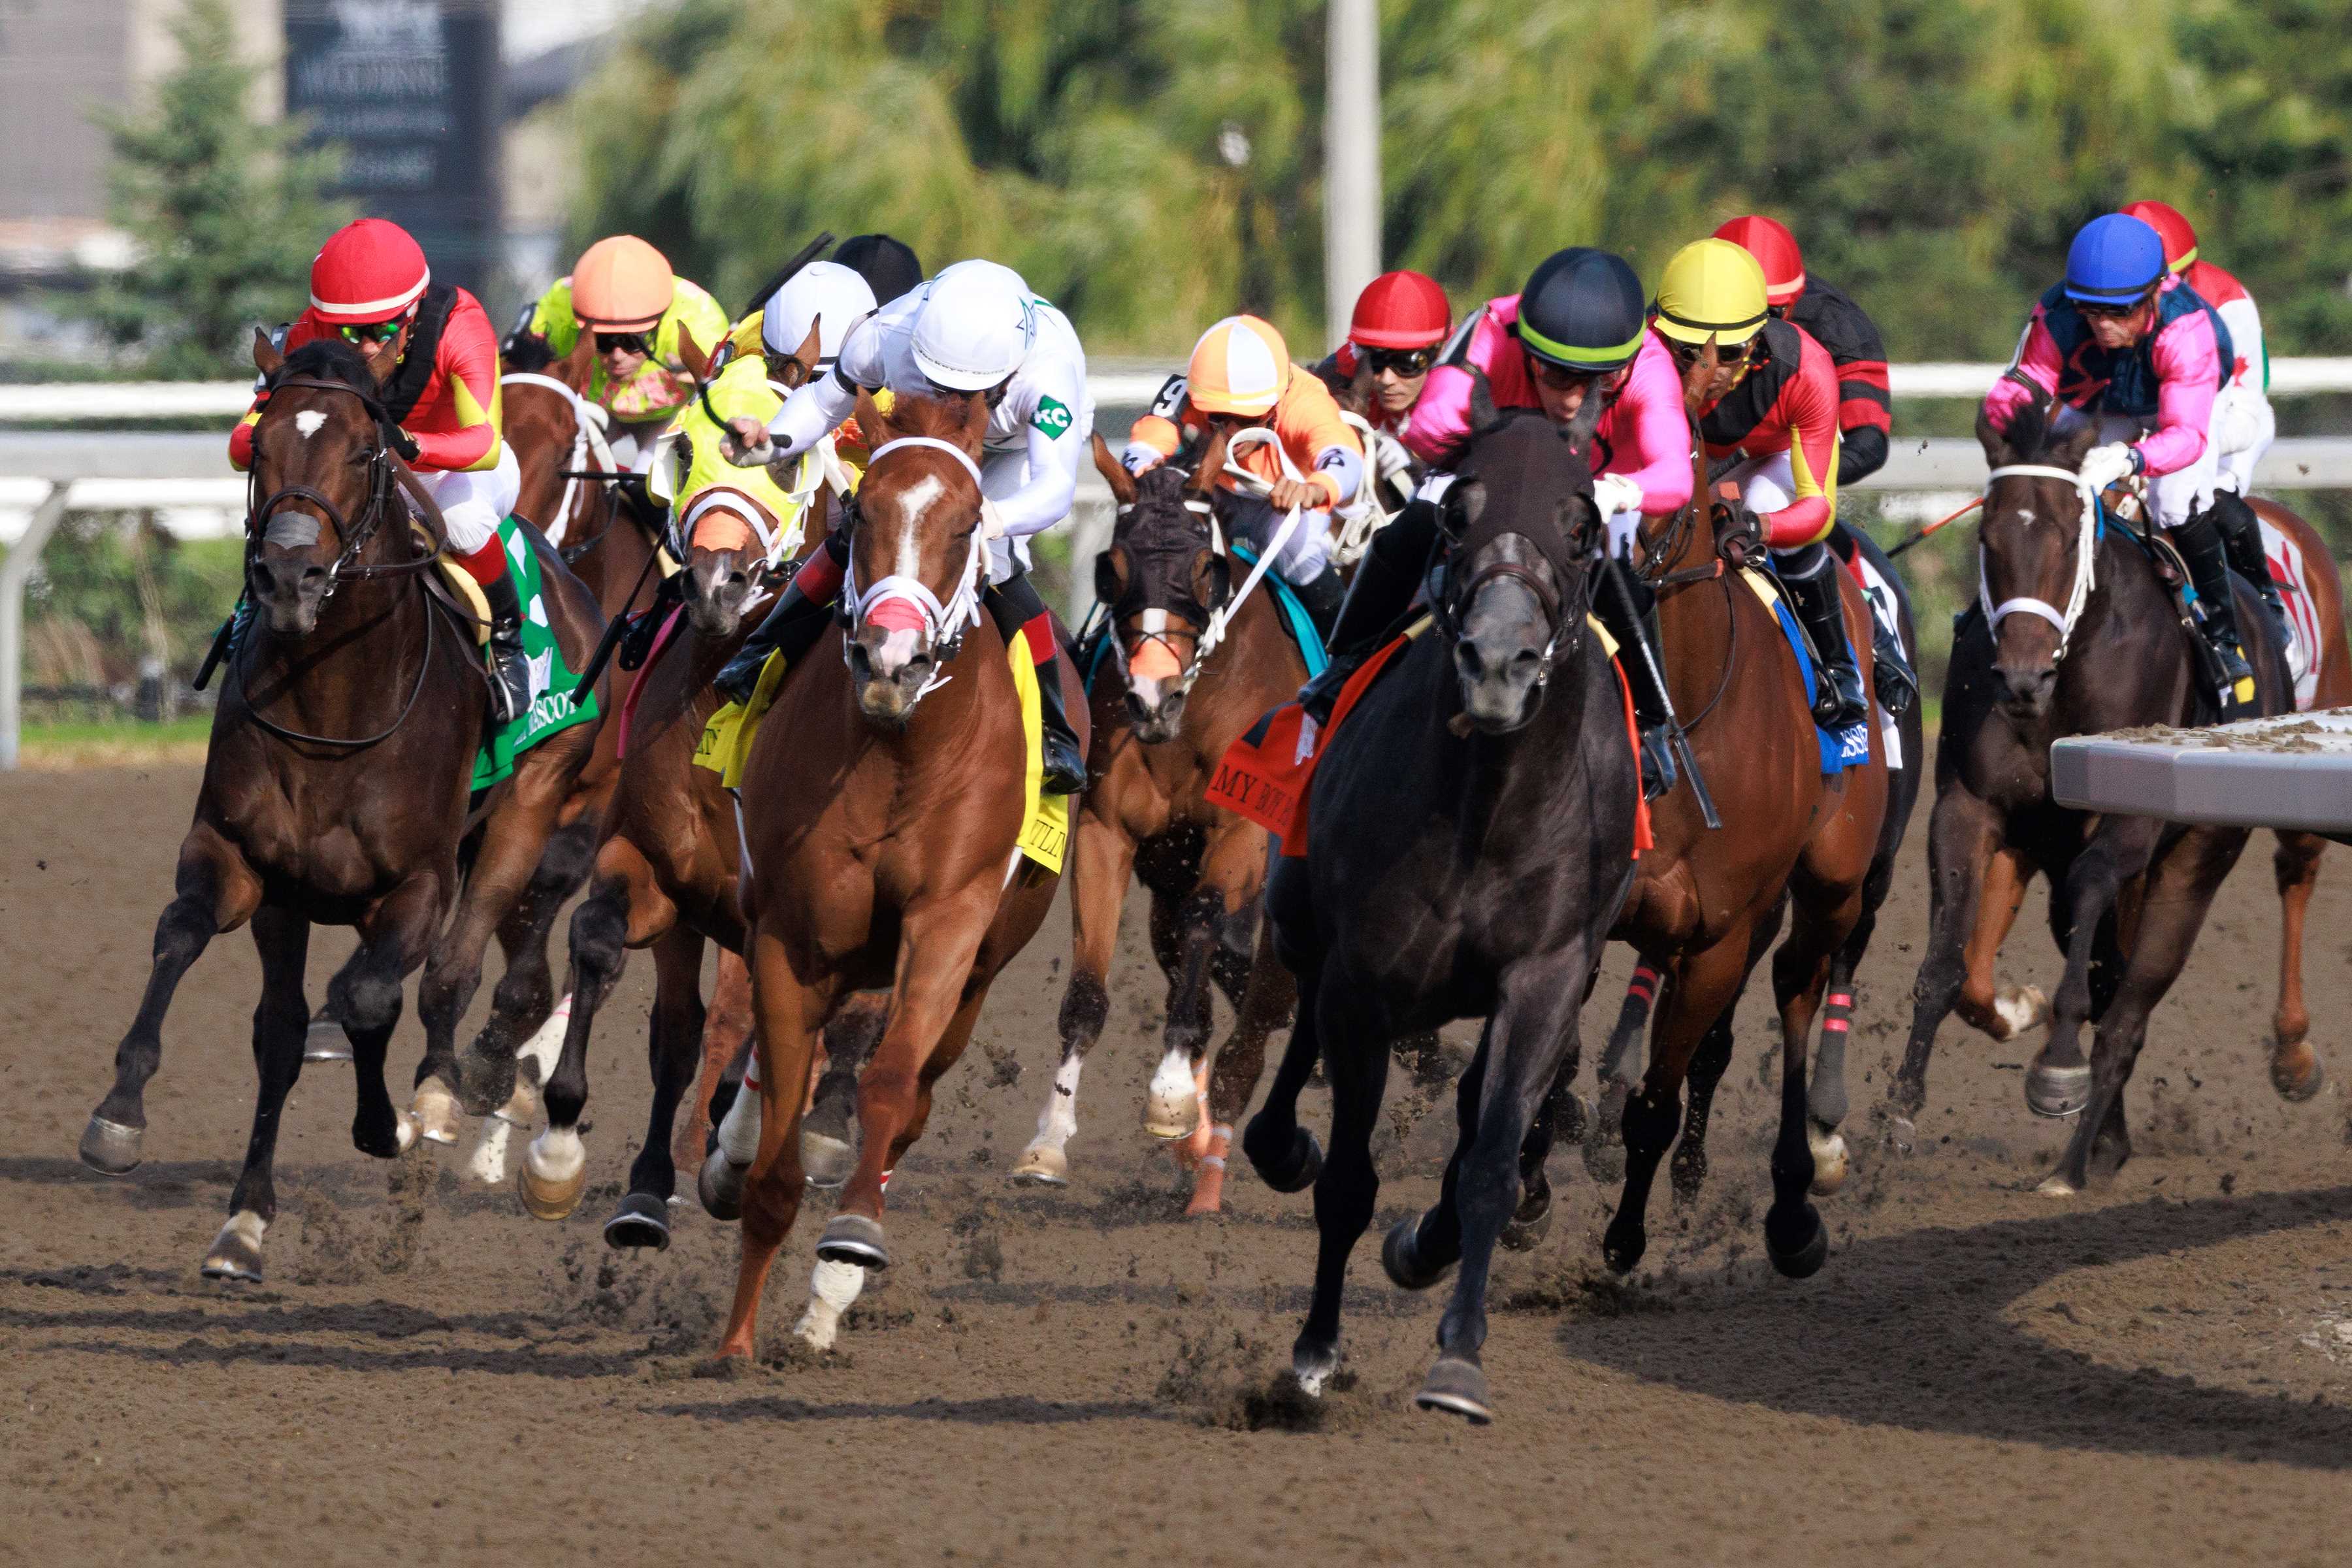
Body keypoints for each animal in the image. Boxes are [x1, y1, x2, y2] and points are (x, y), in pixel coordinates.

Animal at [85, 338, 606, 1279]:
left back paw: (439, 1100)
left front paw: (385, 1124)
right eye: (256, 446)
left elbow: (369, 999)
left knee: (454, 973)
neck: (334, 708)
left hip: (531, 799)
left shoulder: (415, 885)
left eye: (367, 453)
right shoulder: (249, 864)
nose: (290, 573)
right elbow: (222, 977)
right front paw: (154, 1142)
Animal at [715, 392, 1082, 1363]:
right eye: (861, 514)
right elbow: (779, 1126)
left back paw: (827, 1299)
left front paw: (848, 1244)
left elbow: (888, 1080)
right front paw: (735, 1341)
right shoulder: (794, 936)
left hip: (976, 980)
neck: (898, 752)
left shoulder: (948, 921)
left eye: (965, 524)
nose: (890, 659)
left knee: (909, 1099)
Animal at [1011, 430, 1307, 1213]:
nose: (1151, 694)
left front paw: (1171, 1095)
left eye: (1207, 569)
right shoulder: (1105, 834)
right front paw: (1048, 1142)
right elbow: (1088, 991)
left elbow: (1209, 928)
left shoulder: (1242, 833)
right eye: (1111, 570)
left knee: (1260, 987)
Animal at [1241, 402, 1646, 1420]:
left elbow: (1493, 1162)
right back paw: (1281, 1144)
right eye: (1457, 516)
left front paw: (1459, 1355)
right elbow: (1349, 1178)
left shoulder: (1547, 976)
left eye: (1579, 526)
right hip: (1303, 919)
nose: (1499, 662)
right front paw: (1316, 1351)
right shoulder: (1364, 980)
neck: (1488, 806)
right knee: (1299, 1028)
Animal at [1891, 404, 2352, 1189]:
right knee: (2111, 975)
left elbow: (2093, 941)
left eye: (2069, 533)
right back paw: (2102, 1143)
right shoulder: (1972, 809)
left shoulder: (2129, 822)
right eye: (1988, 537)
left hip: (2204, 851)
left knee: (2155, 986)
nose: (2020, 678)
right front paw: (1887, 1115)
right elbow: (1948, 967)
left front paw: (2056, 1068)